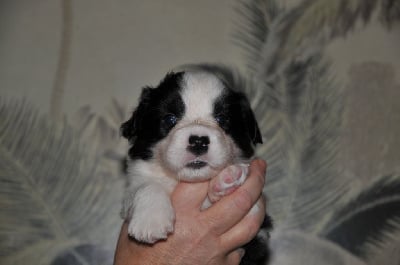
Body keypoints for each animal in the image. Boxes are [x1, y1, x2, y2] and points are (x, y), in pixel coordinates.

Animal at [120, 70, 270, 264]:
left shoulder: (258, 230)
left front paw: (228, 177)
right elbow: (146, 186)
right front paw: (151, 220)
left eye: (222, 119)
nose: (198, 141)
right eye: (170, 119)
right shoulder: (134, 184)